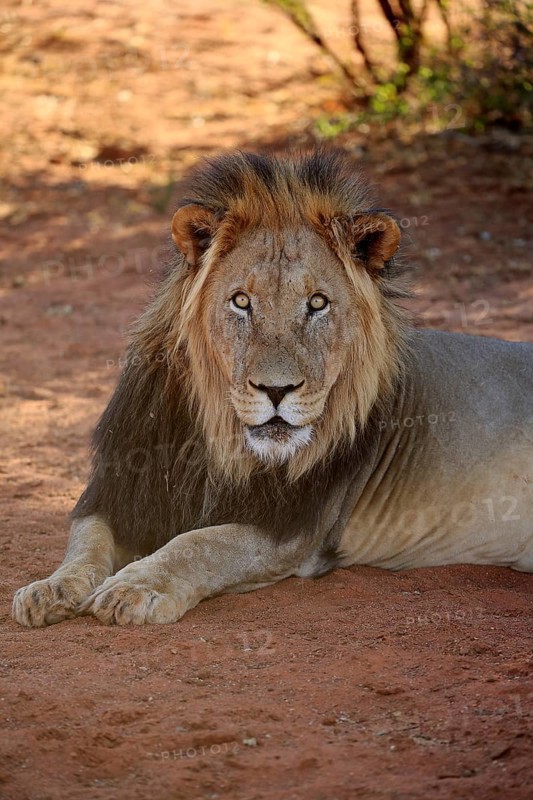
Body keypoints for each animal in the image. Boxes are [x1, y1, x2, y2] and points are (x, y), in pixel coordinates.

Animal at [12, 149, 533, 627]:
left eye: (318, 304)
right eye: (242, 302)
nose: (276, 391)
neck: (216, 439)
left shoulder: (292, 530)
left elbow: (200, 543)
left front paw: (136, 587)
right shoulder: (116, 490)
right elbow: (85, 542)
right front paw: (49, 589)